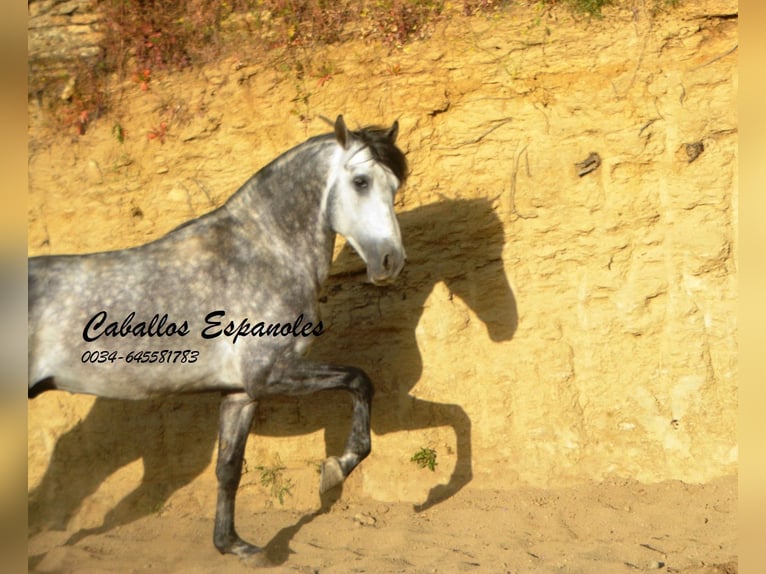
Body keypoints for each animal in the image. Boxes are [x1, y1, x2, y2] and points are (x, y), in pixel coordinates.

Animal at [27, 115, 408, 560]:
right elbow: (360, 381)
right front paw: (334, 469)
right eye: (361, 182)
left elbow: (229, 469)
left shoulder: (241, 393)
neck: (263, 254)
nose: (390, 262)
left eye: (395, 185)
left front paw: (234, 545)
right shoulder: (270, 374)